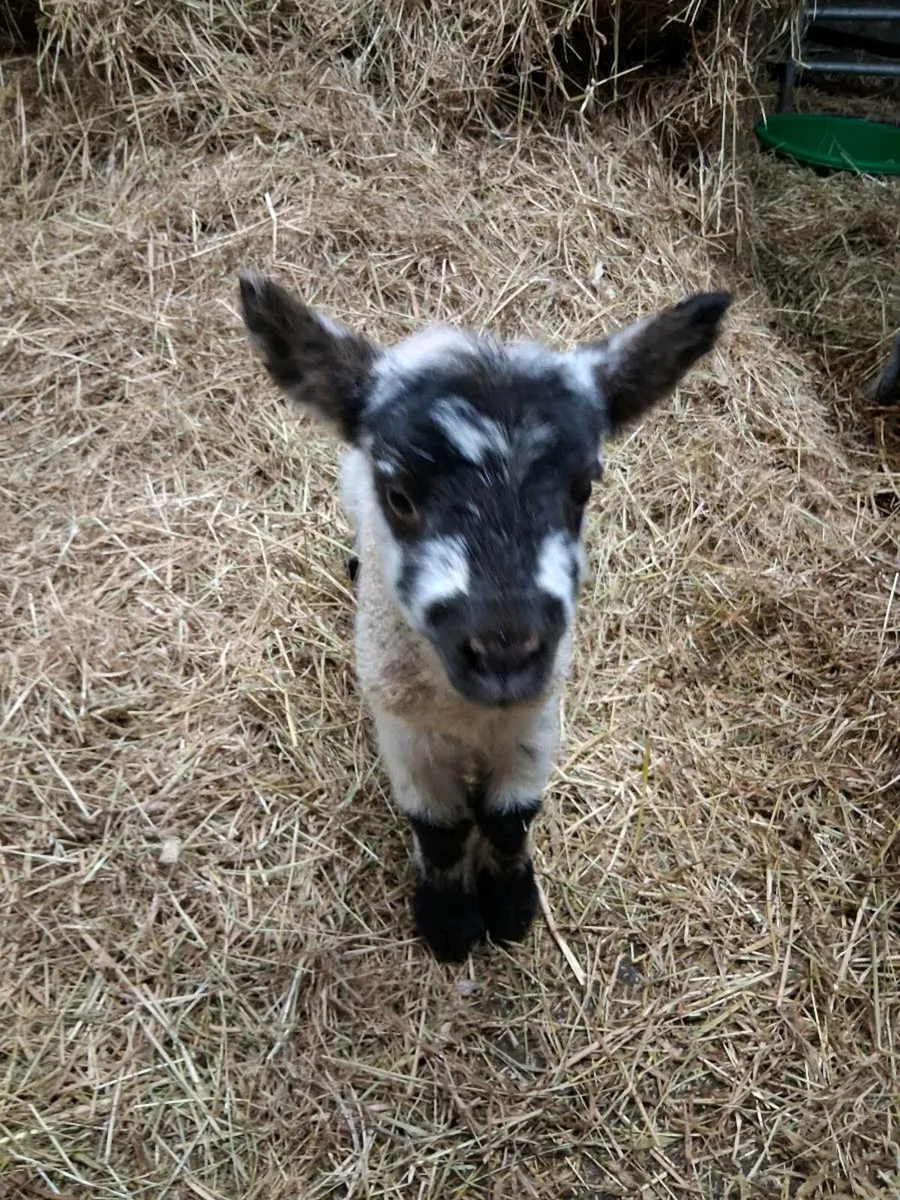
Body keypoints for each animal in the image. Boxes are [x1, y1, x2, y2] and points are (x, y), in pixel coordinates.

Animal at [238, 271, 731, 962]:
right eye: (399, 495)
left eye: (582, 488)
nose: (504, 653)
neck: (467, 713)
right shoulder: (406, 732)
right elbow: (440, 829)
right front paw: (448, 922)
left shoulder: (534, 719)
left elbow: (508, 819)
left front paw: (511, 907)